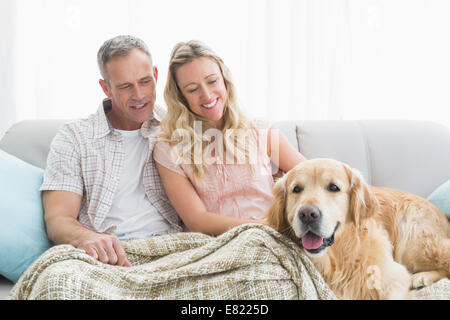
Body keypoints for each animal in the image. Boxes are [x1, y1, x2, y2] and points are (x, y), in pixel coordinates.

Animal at [268, 159, 450, 298]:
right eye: (296, 189)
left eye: (333, 187)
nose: (307, 214)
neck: (339, 257)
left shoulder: (394, 277)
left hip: (414, 242)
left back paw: (422, 277)